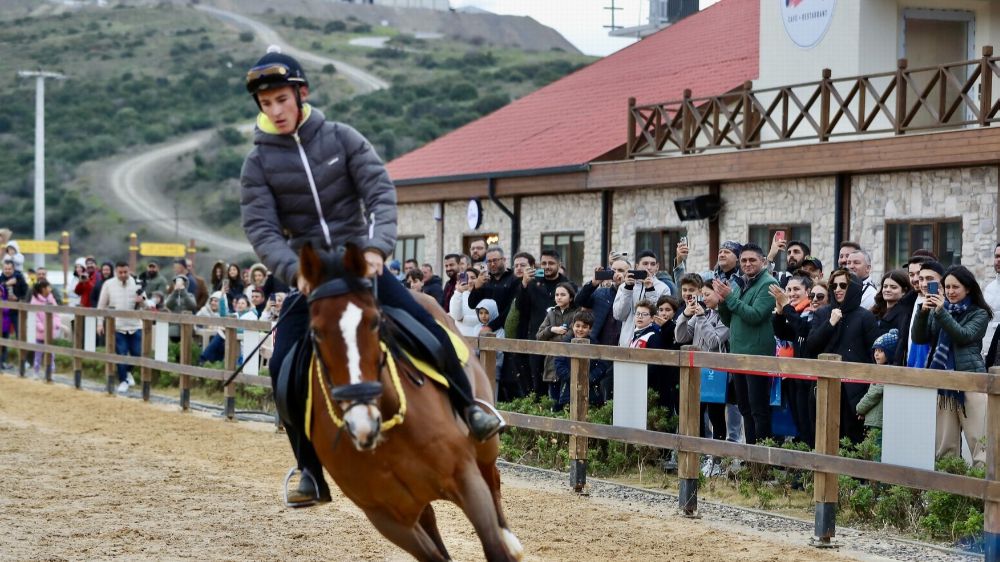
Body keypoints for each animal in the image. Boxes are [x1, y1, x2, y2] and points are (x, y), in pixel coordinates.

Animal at [298, 244, 524, 560]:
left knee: (493, 479)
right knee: (430, 516)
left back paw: (511, 540)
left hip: (484, 447)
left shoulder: (465, 479)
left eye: (375, 322)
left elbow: (492, 545)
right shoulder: (387, 518)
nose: (362, 423)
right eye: (316, 332)